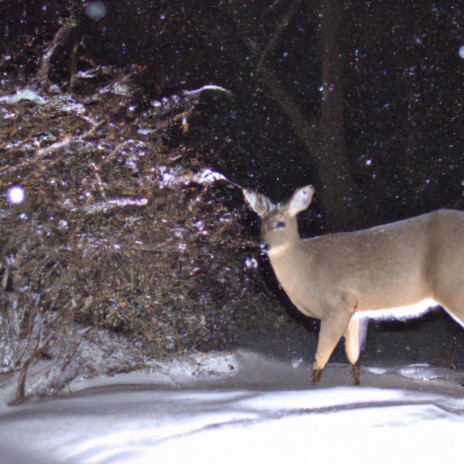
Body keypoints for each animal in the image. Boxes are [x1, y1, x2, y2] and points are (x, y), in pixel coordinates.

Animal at [243, 185, 464, 384]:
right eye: (260, 223)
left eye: (280, 224)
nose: (262, 244)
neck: (309, 268)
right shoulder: (355, 312)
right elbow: (354, 357)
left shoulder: (337, 304)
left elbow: (320, 360)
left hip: (452, 285)